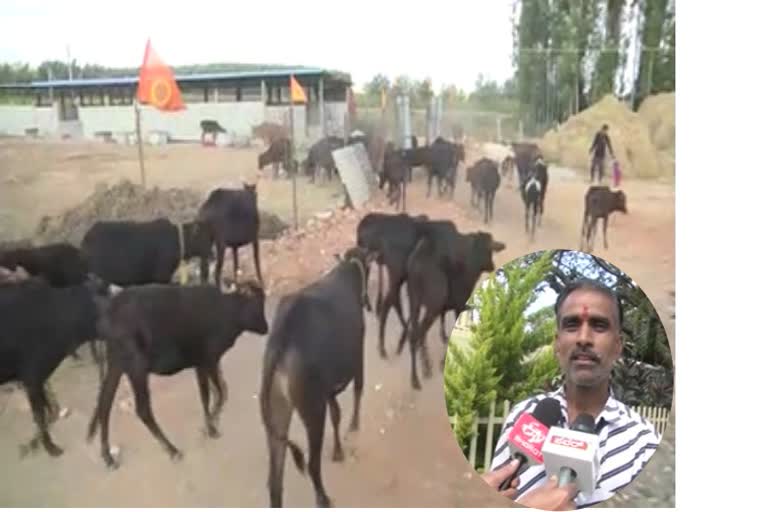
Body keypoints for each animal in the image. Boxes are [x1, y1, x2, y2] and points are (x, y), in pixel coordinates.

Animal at [85, 280, 268, 468]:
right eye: (255, 302)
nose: (266, 328)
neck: (227, 311)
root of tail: (108, 310)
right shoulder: (207, 360)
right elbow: (215, 393)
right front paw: (211, 427)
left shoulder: (203, 363)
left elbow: (215, 393)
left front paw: (211, 424)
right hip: (137, 367)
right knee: (142, 409)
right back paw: (172, 450)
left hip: (116, 364)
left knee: (104, 403)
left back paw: (108, 457)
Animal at [260, 246, 376, 506]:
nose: (367, 302)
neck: (348, 273)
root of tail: (282, 337)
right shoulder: (358, 355)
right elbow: (357, 391)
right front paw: (354, 427)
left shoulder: (328, 388)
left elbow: (337, 414)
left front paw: (338, 451)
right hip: (312, 410)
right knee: (312, 464)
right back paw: (323, 498)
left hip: (277, 408)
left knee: (275, 479)